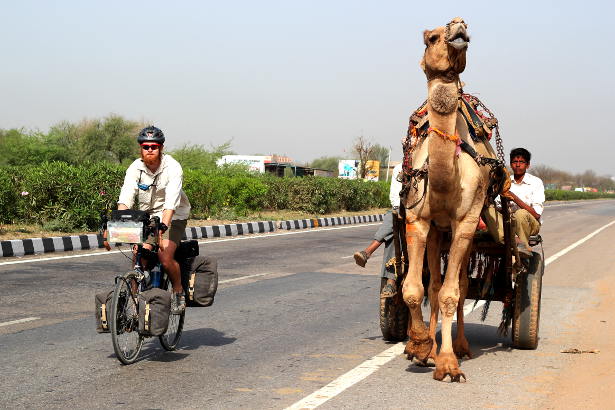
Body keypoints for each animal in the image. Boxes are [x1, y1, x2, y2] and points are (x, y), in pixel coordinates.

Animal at [400, 16, 500, 382]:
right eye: (430, 38)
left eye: (465, 31)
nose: (458, 25)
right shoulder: (418, 219)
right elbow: (415, 289)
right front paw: (418, 346)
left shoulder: (466, 220)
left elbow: (451, 293)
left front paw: (447, 363)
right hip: (436, 232)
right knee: (433, 283)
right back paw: (430, 346)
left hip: (467, 232)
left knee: (460, 286)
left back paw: (460, 346)